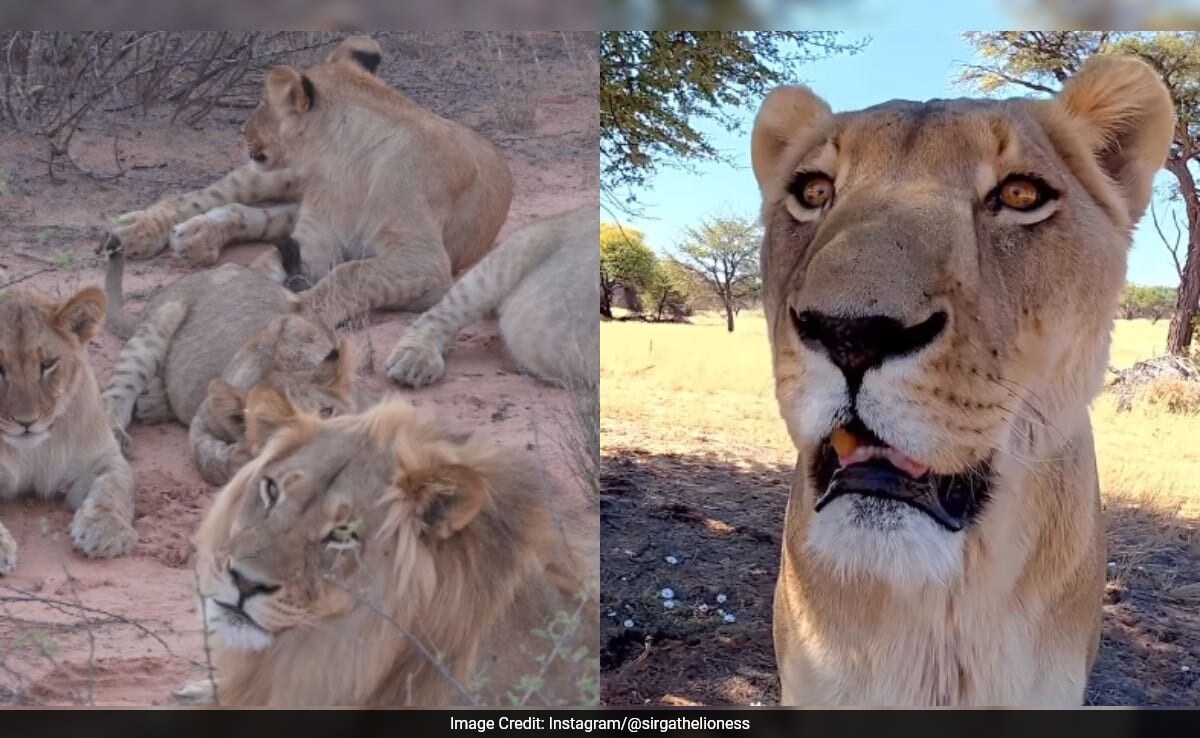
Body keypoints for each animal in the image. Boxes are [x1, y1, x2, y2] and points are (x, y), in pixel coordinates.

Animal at [0, 286, 137, 574]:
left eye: (48, 364)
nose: (26, 422)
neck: (32, 452)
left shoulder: (103, 457)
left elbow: (115, 485)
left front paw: (106, 530)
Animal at [99, 35, 385, 269]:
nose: (242, 130)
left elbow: (264, 220)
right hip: (276, 170)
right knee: (200, 196)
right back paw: (135, 230)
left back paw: (199, 237)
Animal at [100, 248, 361, 486]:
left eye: (326, 412)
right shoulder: (202, 420)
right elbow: (208, 457)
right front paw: (242, 459)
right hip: (154, 329)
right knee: (116, 393)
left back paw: (154, 402)